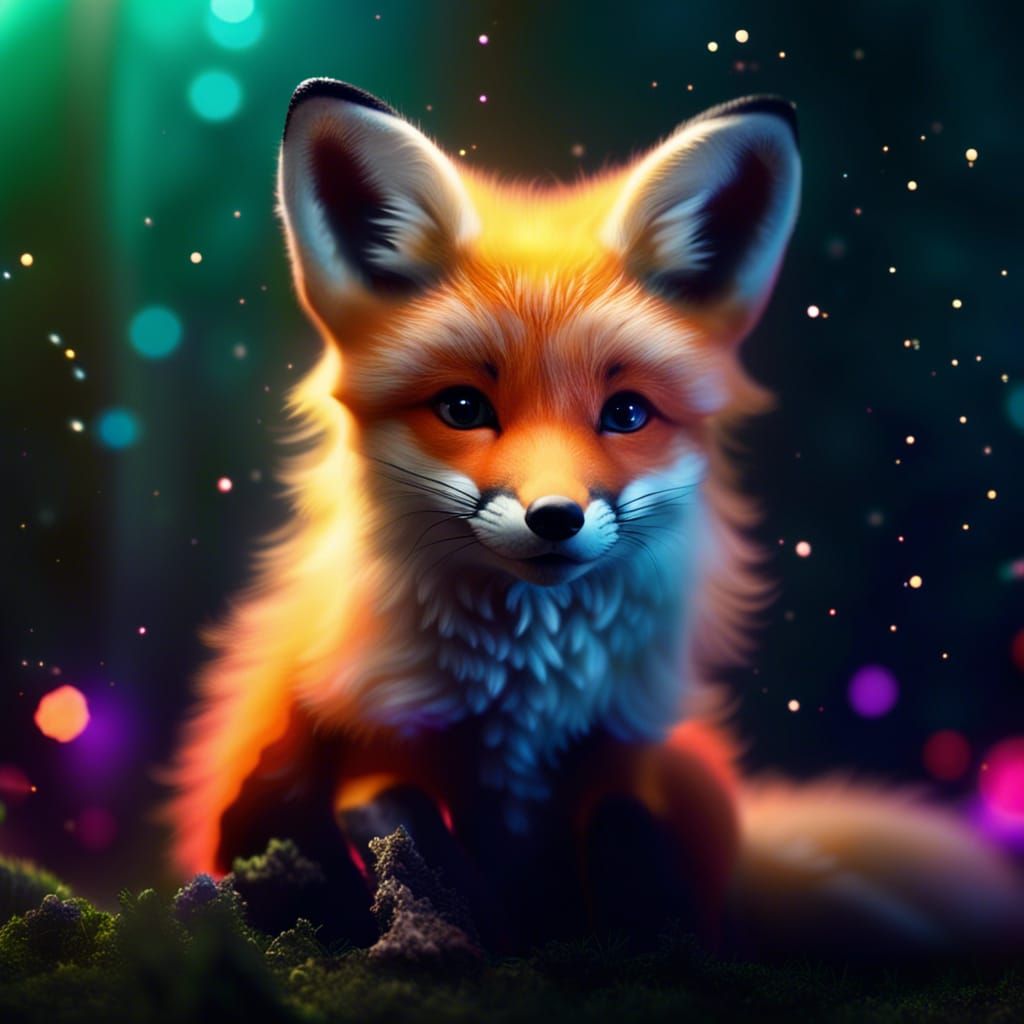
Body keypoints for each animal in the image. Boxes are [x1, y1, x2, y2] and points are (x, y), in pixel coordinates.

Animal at [167, 78, 1024, 956]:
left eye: (627, 414)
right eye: (464, 408)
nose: (555, 518)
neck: (522, 701)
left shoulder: (622, 756)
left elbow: (623, 837)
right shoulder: (372, 743)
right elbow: (400, 825)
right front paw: (459, 928)